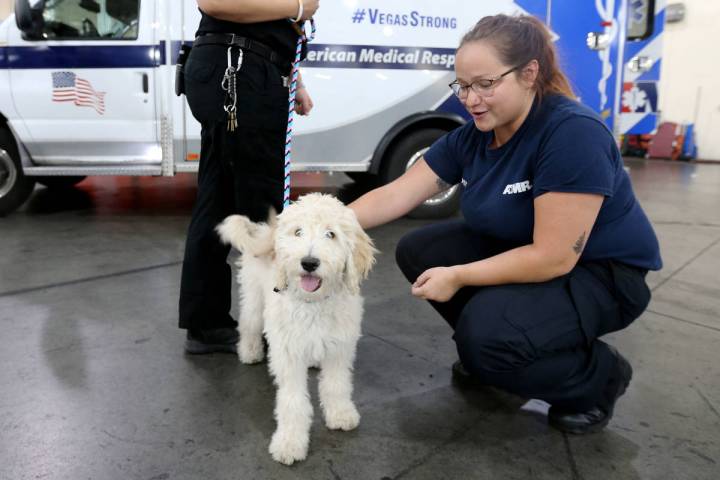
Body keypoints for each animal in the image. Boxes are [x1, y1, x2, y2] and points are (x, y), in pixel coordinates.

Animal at [217, 192, 376, 464]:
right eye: (298, 232)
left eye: (331, 234)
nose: (309, 262)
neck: (314, 303)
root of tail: (267, 231)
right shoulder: (289, 355)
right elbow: (293, 402)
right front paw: (289, 443)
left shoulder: (340, 348)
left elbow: (337, 385)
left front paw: (341, 414)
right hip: (254, 300)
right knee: (249, 325)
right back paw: (250, 352)